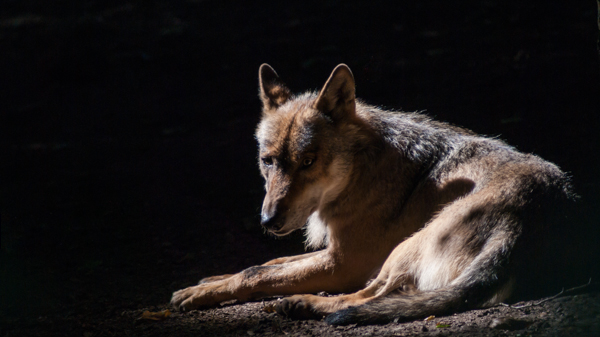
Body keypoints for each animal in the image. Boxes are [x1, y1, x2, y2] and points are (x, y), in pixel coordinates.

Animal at [171, 62, 576, 322]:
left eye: (308, 161)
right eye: (267, 161)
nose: (268, 221)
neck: (363, 169)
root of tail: (524, 221)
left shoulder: (342, 262)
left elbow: (257, 273)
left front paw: (198, 294)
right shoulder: (333, 250)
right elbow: (268, 262)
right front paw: (210, 280)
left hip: (407, 245)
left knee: (366, 298)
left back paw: (303, 304)